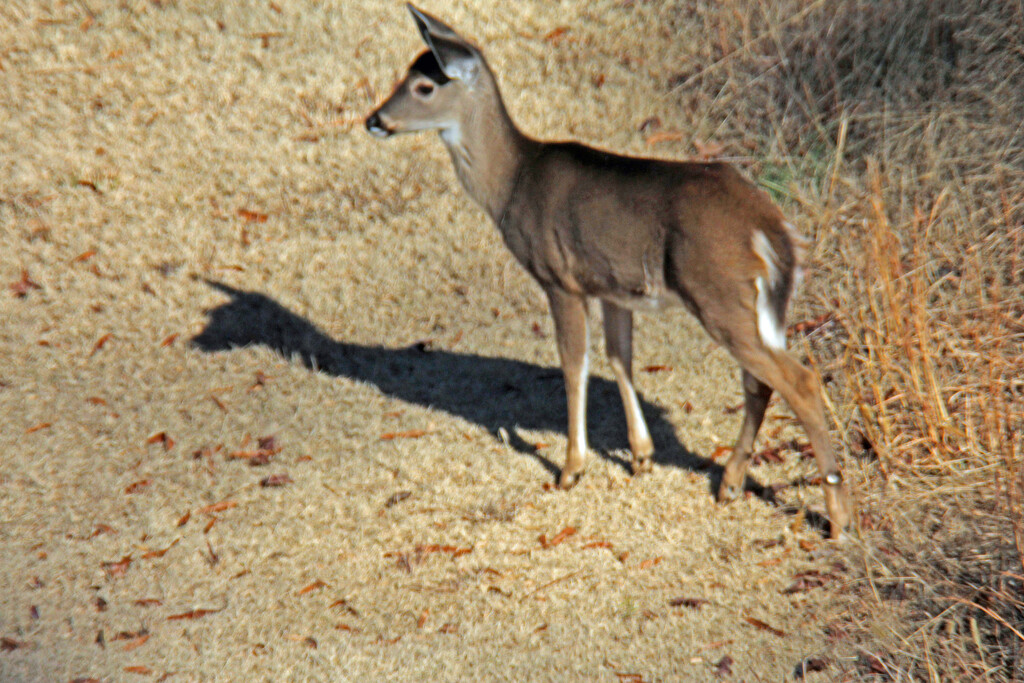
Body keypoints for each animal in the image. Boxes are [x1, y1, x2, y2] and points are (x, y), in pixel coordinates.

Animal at [364, 5, 851, 540]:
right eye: (405, 75)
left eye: (423, 86)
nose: (374, 119)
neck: (512, 185)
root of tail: (771, 227)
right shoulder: (614, 288)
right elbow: (621, 358)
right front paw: (641, 457)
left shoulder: (558, 277)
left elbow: (575, 364)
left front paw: (570, 469)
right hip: (759, 306)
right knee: (761, 382)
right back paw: (730, 484)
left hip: (719, 295)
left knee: (799, 381)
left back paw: (837, 518)